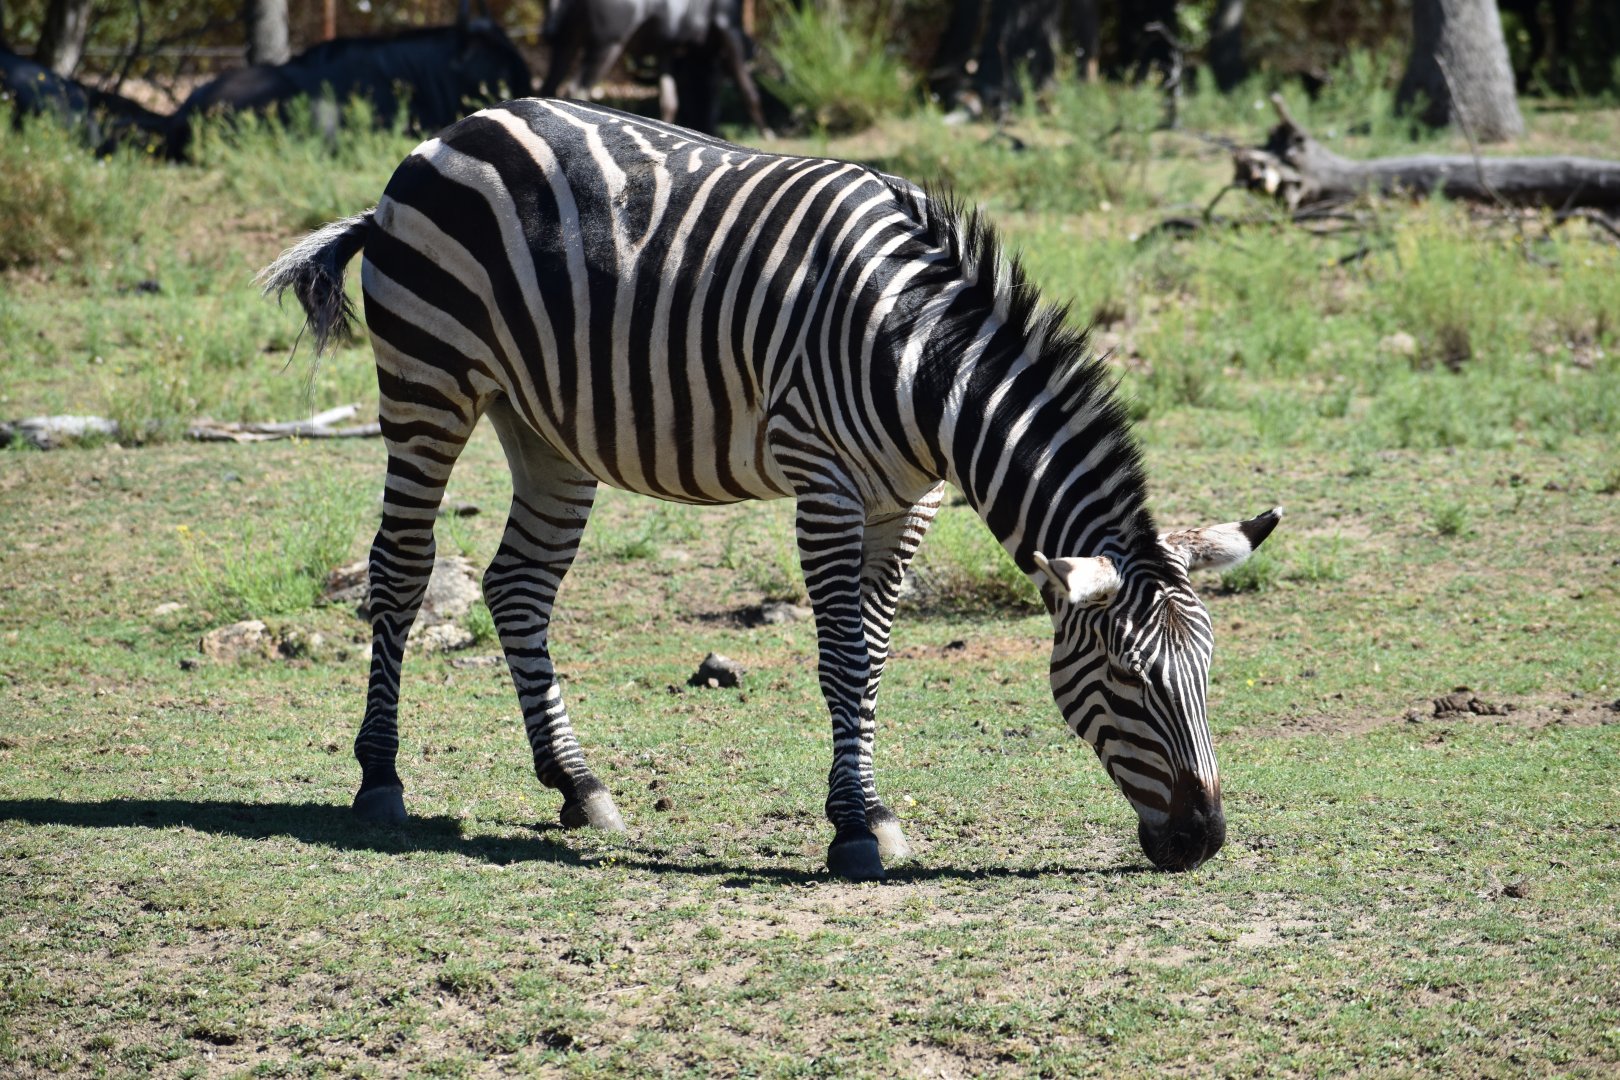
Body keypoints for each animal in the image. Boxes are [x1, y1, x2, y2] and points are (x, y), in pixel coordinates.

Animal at [261, 97, 1280, 881]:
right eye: (1126, 681)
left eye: (1208, 677)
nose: (1202, 841)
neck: (924, 363)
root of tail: (449, 133)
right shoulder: (824, 483)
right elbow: (840, 659)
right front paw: (854, 830)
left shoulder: (908, 500)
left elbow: (874, 656)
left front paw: (874, 814)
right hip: (428, 379)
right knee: (400, 566)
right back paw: (381, 780)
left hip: (546, 422)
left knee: (518, 585)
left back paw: (579, 786)